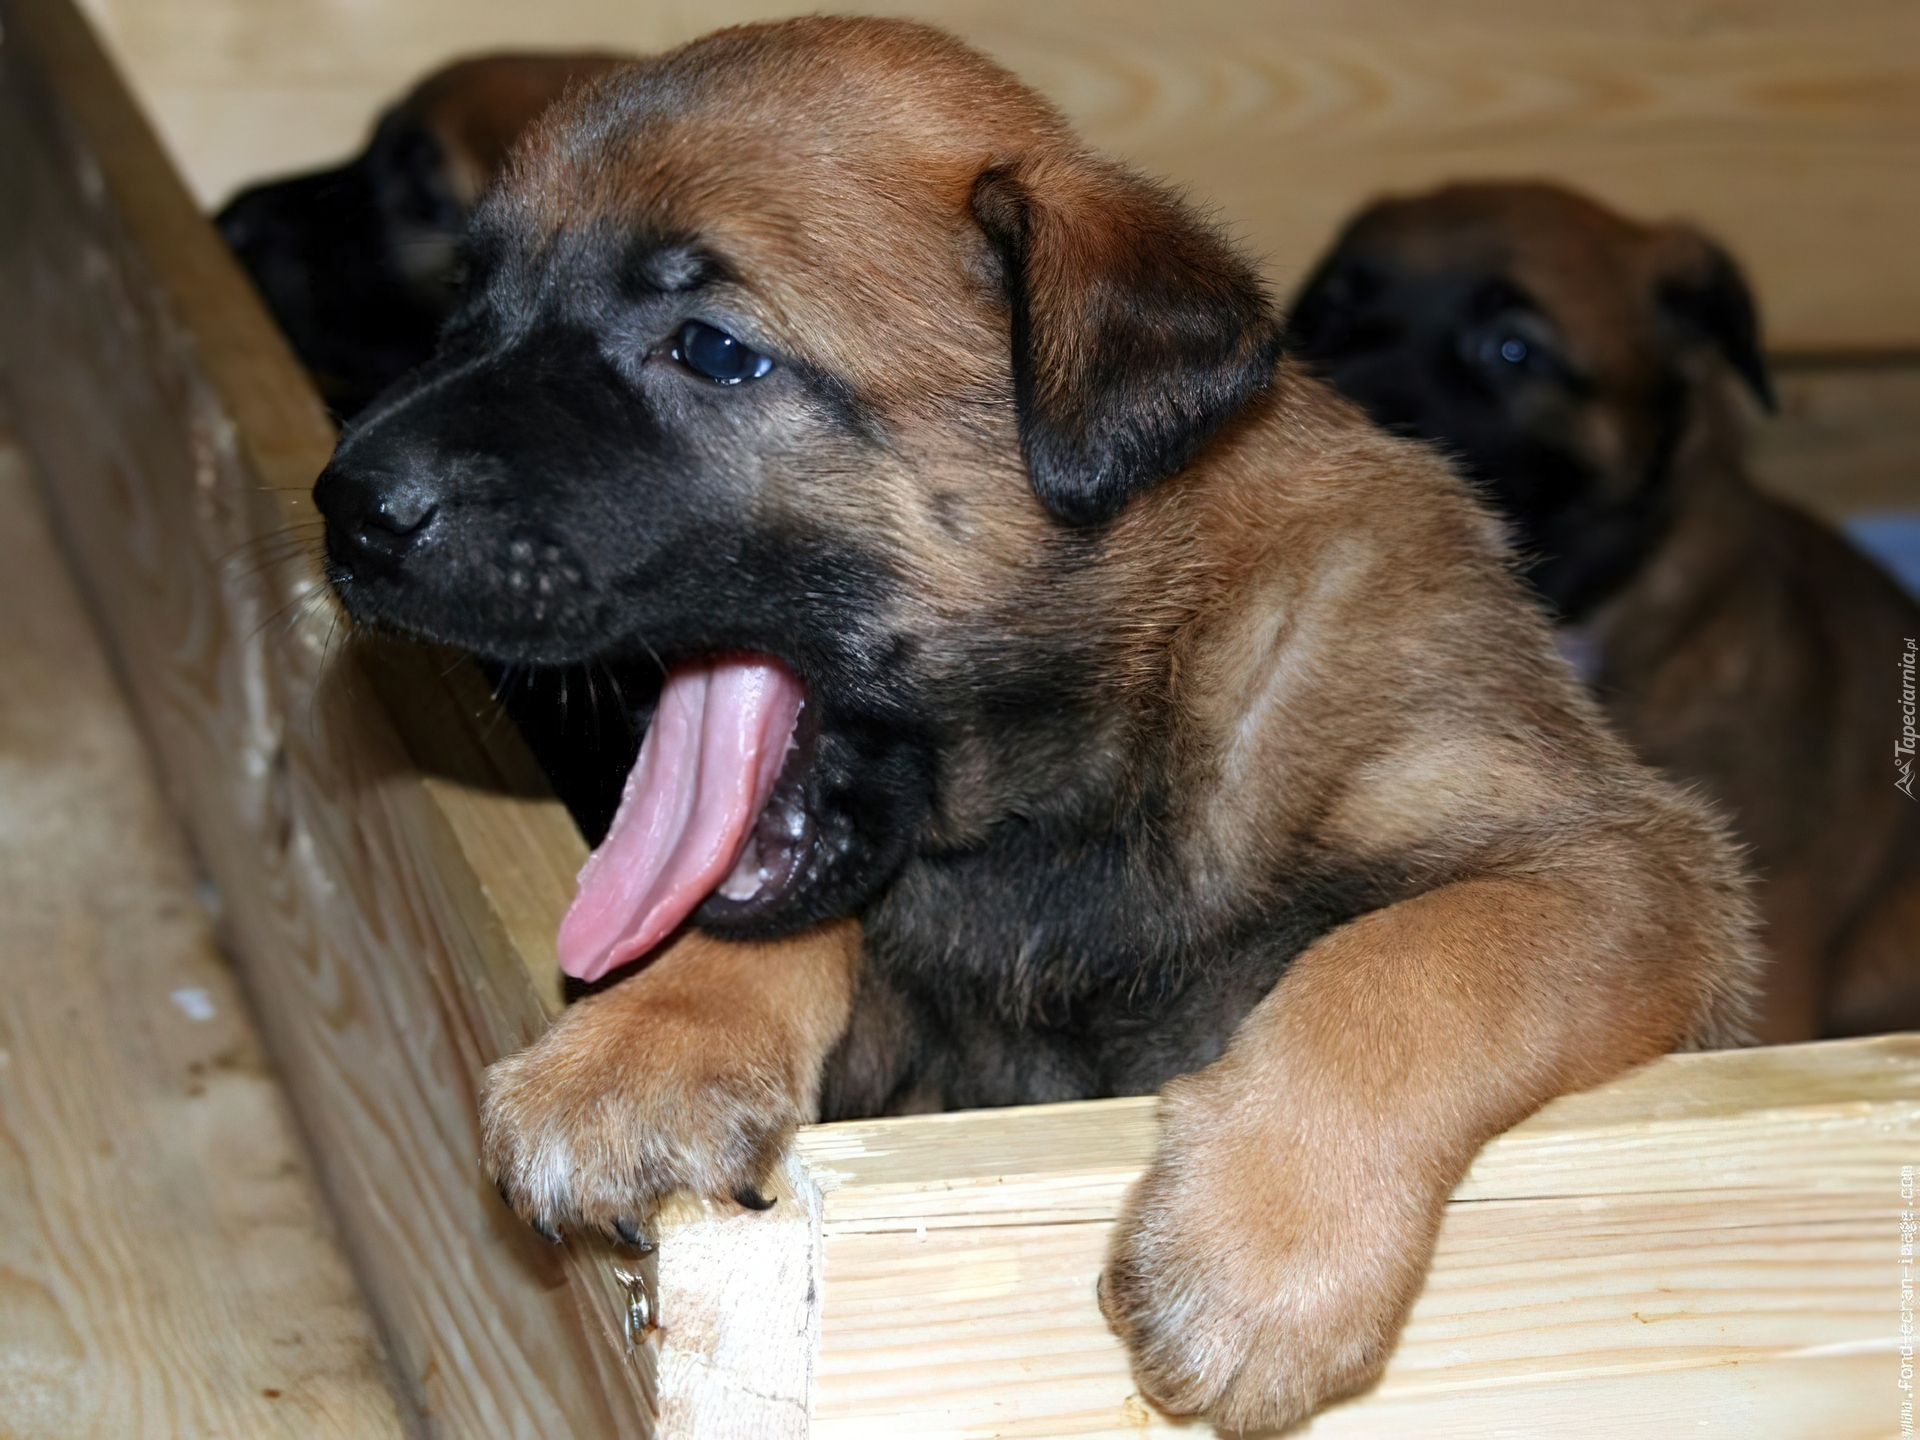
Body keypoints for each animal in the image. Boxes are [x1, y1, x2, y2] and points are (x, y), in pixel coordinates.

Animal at [303, 22, 1758, 1436]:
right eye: (470, 302)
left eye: (713, 350)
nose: (348, 511)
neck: (1083, 769)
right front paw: (644, 1045)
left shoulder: (1619, 862)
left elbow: (1418, 960)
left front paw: (1262, 1252)